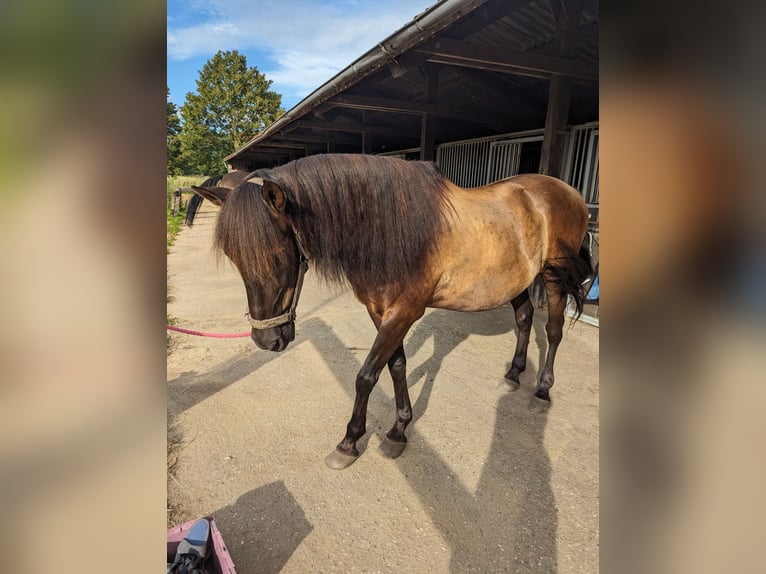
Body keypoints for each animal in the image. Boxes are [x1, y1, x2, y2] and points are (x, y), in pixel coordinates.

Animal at [191, 154, 591, 470]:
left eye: (277, 256)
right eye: (234, 258)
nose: (266, 339)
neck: (392, 229)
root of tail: (570, 193)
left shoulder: (404, 312)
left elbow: (366, 375)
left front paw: (349, 442)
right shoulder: (381, 311)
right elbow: (396, 366)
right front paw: (399, 430)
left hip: (553, 276)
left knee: (553, 330)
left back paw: (542, 391)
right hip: (517, 279)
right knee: (524, 320)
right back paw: (513, 374)